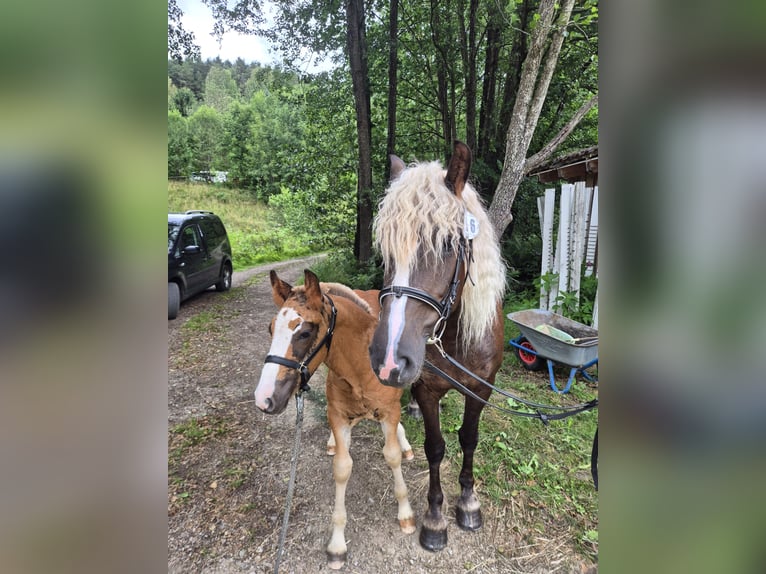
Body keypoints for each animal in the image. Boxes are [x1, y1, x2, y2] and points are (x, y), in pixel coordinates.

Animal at [254, 269, 416, 569]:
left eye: (305, 332)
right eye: (271, 329)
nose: (264, 398)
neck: (362, 366)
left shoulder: (389, 411)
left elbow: (392, 456)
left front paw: (405, 514)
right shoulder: (338, 416)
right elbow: (342, 467)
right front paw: (337, 545)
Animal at [368, 141, 507, 552]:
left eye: (446, 243)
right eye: (385, 249)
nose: (389, 360)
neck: (457, 340)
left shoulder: (481, 388)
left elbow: (468, 439)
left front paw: (469, 503)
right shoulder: (427, 389)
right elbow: (435, 447)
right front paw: (434, 519)